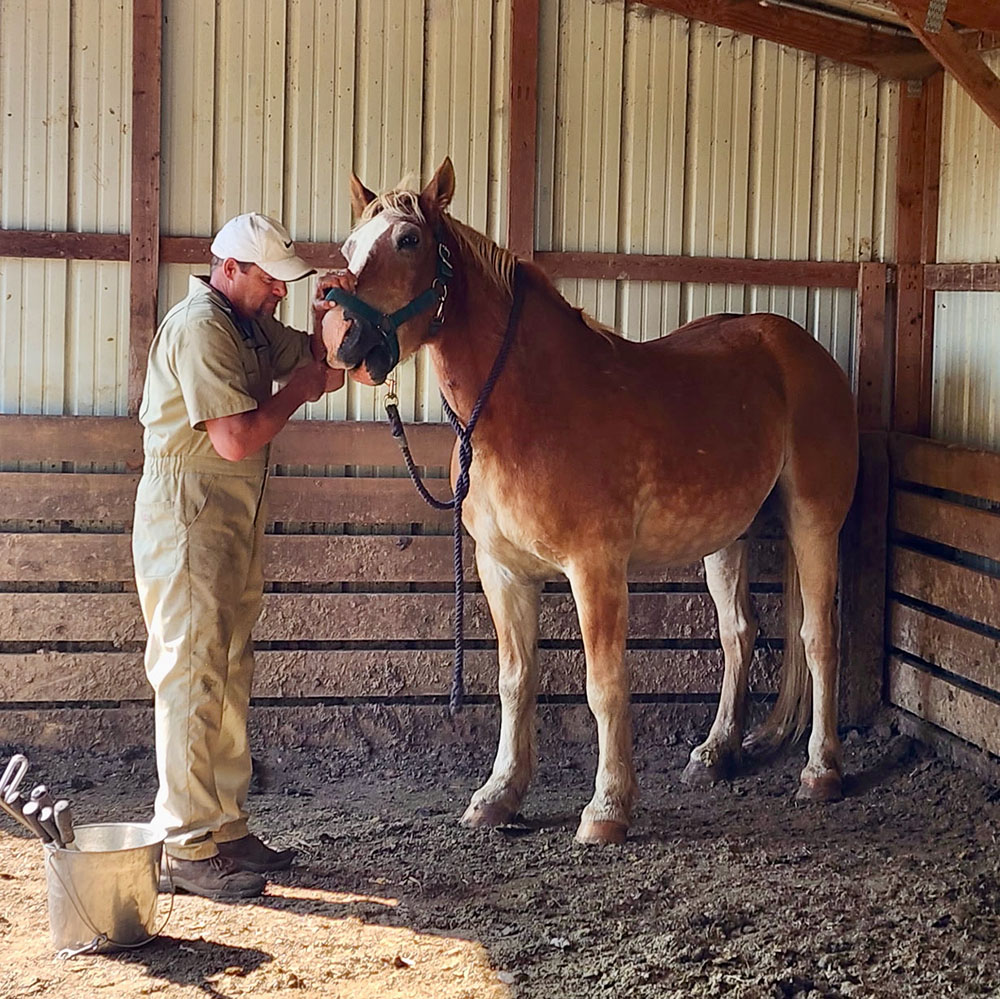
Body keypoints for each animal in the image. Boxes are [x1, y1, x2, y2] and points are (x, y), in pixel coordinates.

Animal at [322, 157, 859, 845]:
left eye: (409, 240)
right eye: (347, 247)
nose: (340, 335)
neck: (531, 406)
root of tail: (803, 350)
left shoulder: (595, 568)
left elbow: (604, 685)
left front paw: (607, 809)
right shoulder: (502, 571)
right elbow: (516, 681)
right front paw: (498, 796)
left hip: (815, 521)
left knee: (819, 637)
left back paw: (821, 771)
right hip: (725, 537)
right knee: (738, 635)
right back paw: (715, 754)